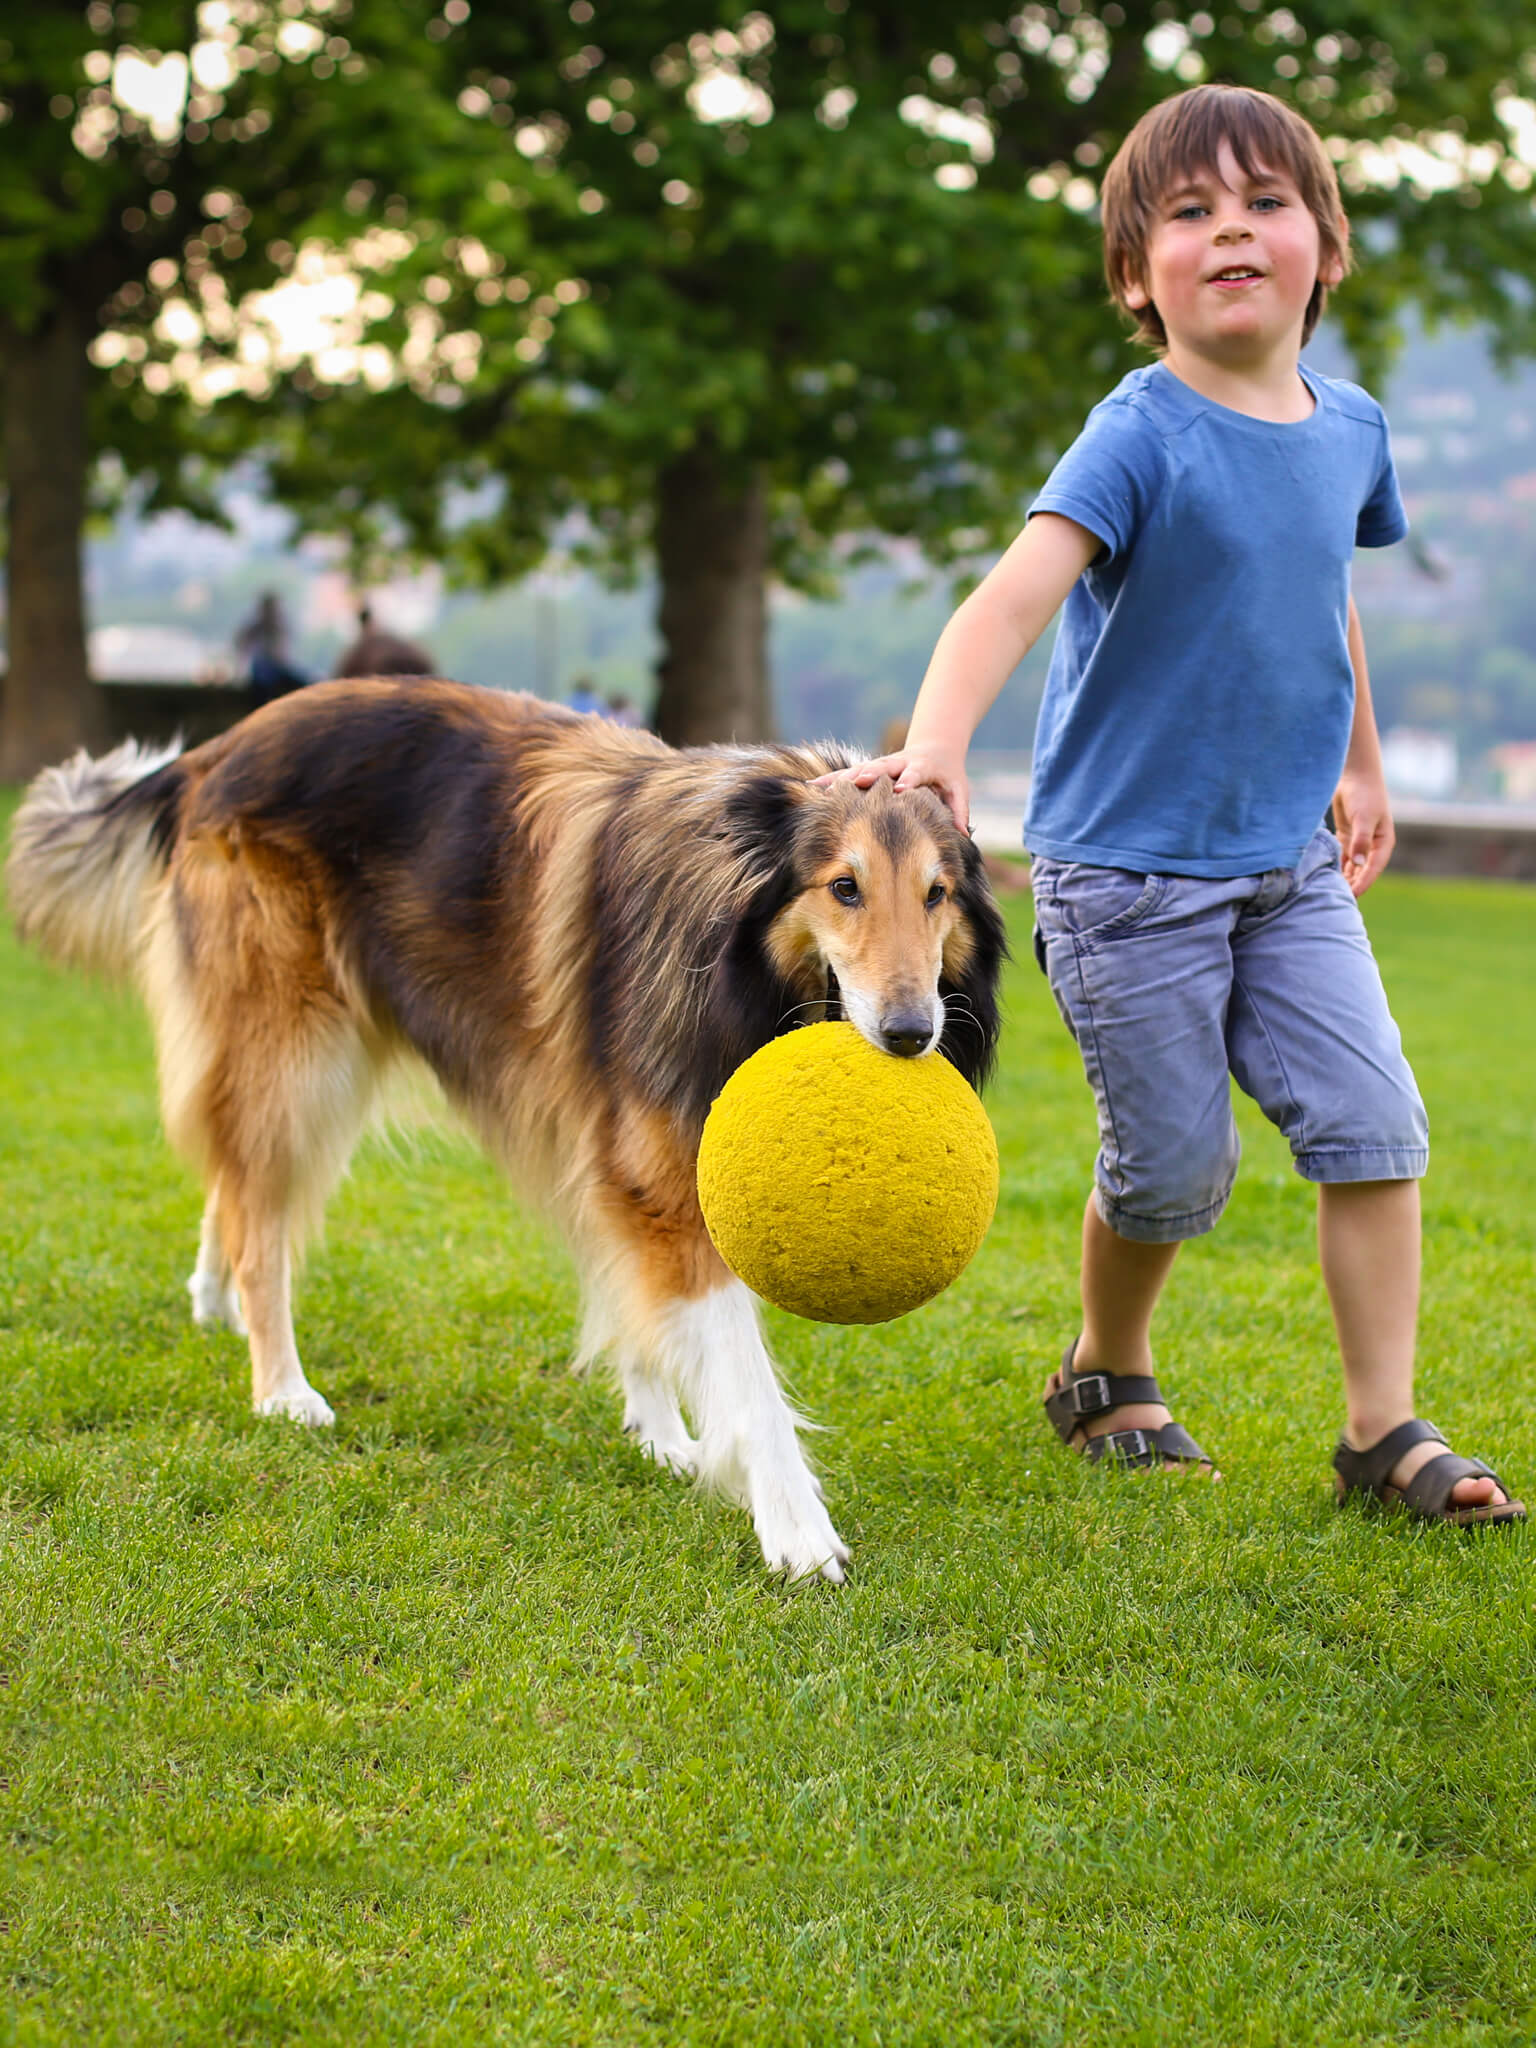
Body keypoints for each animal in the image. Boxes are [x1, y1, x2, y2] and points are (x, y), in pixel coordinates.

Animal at [9, 679, 1011, 1572]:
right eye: (844, 887)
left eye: (936, 895)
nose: (911, 1034)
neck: (737, 948)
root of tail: (211, 754)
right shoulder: (663, 1179)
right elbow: (744, 1376)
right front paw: (795, 1528)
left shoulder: (608, 1153)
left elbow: (629, 1300)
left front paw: (661, 1435)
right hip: (297, 1053)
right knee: (262, 1221)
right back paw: (283, 1388)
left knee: (236, 1181)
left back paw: (211, 1296)